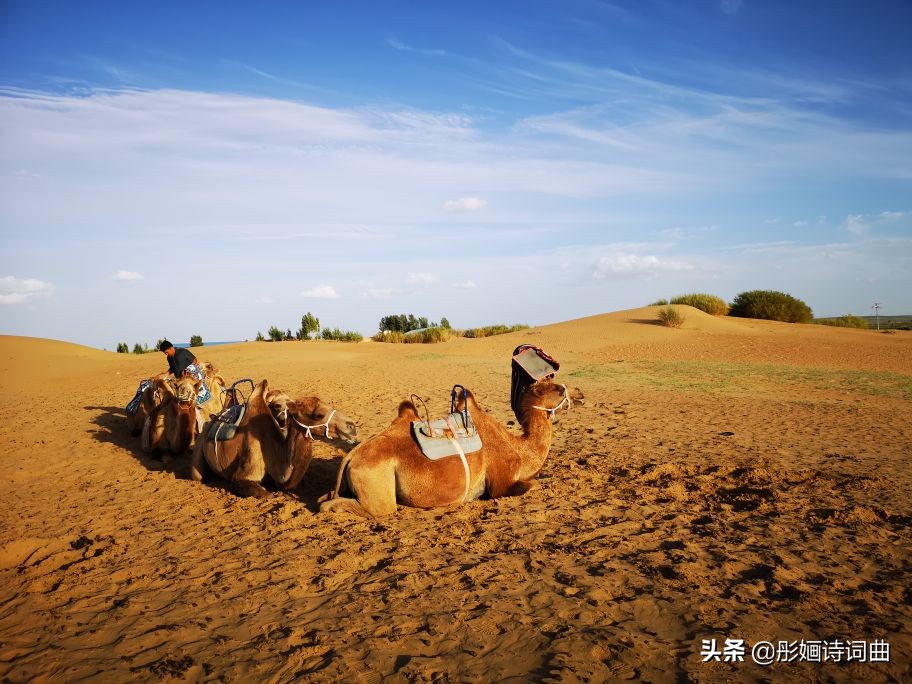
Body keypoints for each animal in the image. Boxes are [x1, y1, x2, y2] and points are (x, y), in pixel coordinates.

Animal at [191, 380, 358, 496]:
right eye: (318, 415)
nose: (351, 426)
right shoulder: (243, 474)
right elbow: (266, 495)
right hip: (198, 455)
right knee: (199, 476)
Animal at [318, 380, 584, 520]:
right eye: (559, 389)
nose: (580, 393)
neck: (519, 449)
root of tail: (353, 455)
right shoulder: (501, 482)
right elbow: (530, 486)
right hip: (377, 484)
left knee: (326, 496)